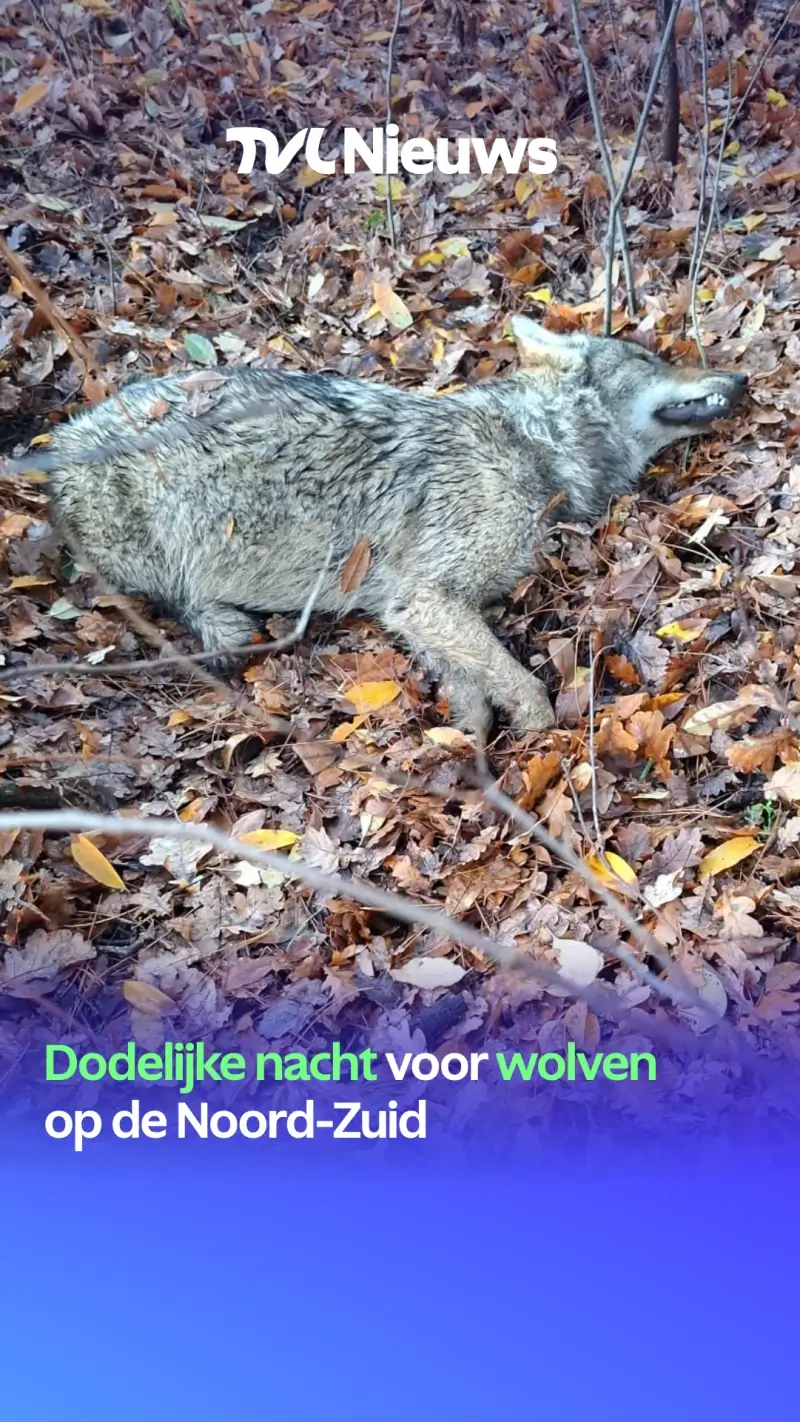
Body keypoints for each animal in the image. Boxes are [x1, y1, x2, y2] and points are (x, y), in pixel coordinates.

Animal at [5, 318, 746, 733]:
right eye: (650, 361)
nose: (741, 378)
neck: (534, 443)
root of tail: (55, 448)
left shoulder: (412, 608)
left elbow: (471, 688)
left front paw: (470, 744)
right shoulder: (427, 600)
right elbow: (520, 680)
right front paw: (539, 734)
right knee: (173, 602)